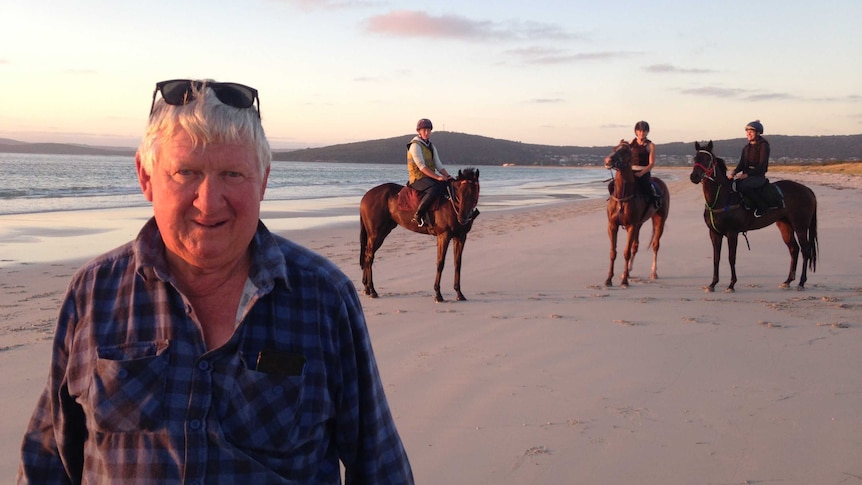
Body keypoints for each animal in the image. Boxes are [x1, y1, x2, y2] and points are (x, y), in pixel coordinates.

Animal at [358, 168, 480, 300]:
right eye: (460, 192)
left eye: (474, 192)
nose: (463, 217)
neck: (451, 202)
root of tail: (366, 196)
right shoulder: (444, 236)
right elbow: (440, 263)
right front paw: (438, 294)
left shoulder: (460, 237)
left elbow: (458, 264)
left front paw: (459, 293)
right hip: (375, 234)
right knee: (369, 256)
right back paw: (372, 290)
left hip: (382, 233)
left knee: (367, 255)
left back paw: (367, 288)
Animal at [604, 139, 672, 288]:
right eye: (614, 148)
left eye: (625, 151)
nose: (608, 160)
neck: (623, 195)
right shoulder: (612, 226)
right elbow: (613, 252)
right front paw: (609, 279)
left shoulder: (631, 226)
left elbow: (626, 253)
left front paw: (624, 281)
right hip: (639, 224)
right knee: (635, 246)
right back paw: (629, 271)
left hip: (659, 221)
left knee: (655, 245)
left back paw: (653, 272)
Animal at [692, 140, 820, 292]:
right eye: (695, 159)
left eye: (707, 159)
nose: (694, 176)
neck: (722, 197)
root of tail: (807, 190)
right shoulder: (714, 233)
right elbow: (716, 258)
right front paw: (712, 284)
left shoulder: (732, 233)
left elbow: (731, 258)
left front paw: (731, 284)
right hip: (785, 226)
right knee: (794, 250)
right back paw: (788, 281)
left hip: (800, 227)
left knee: (806, 251)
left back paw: (801, 282)